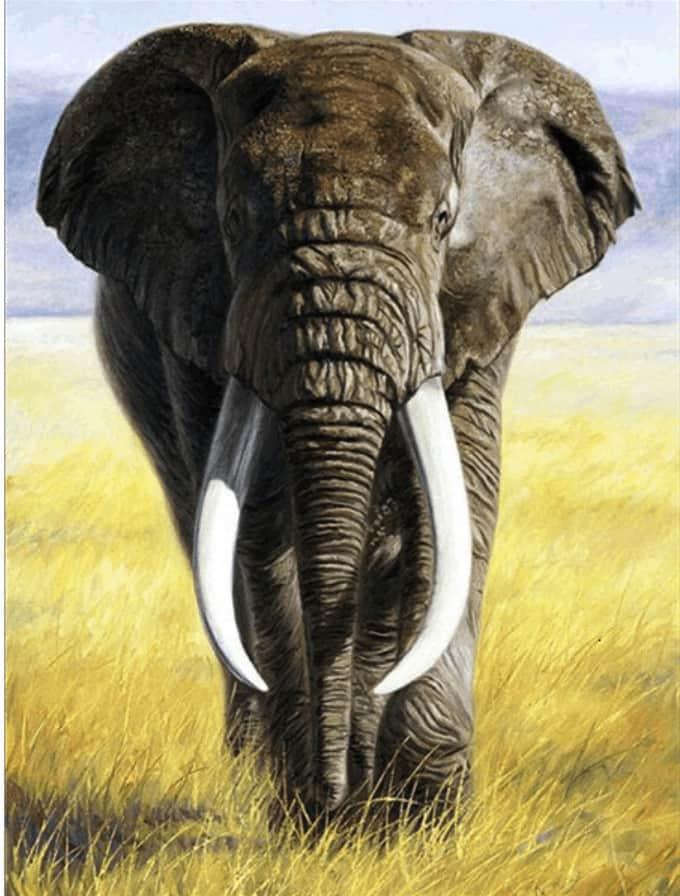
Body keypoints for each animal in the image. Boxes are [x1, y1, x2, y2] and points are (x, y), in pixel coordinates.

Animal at [37, 25, 638, 826]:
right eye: (233, 221)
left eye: (443, 221)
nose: (330, 796)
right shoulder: (197, 320)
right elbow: (260, 522)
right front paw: (309, 815)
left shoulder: (478, 304)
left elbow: (456, 508)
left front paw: (419, 823)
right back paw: (262, 773)